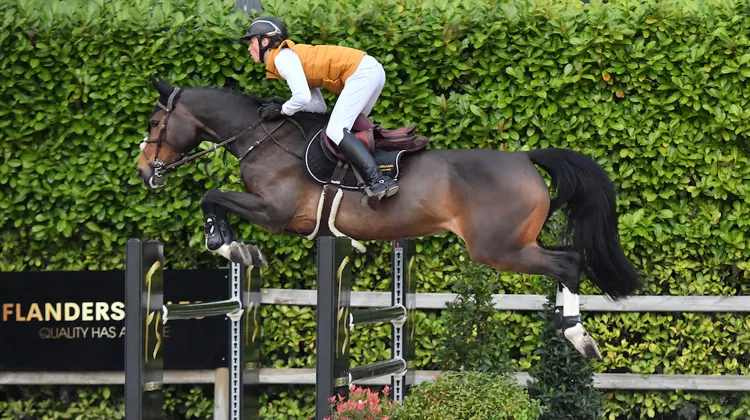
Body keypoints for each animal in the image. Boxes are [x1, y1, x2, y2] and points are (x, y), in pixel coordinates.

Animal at [135, 76, 644, 359]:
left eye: (156, 124)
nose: (144, 171)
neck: (263, 138)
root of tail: (525, 158)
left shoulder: (276, 213)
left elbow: (212, 195)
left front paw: (229, 244)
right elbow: (215, 197)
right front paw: (237, 245)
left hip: (499, 249)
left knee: (568, 263)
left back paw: (576, 336)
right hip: (516, 244)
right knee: (569, 256)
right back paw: (571, 329)